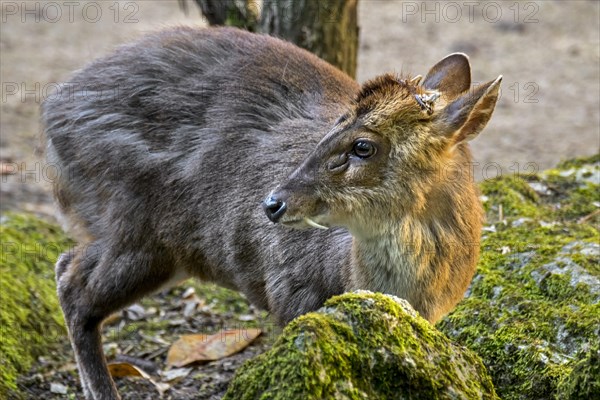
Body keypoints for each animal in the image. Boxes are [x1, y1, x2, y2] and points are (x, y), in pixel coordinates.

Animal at [43, 26, 502, 398]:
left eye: (363, 146)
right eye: (333, 123)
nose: (272, 202)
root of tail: (52, 114)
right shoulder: (289, 292)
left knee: (70, 266)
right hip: (135, 225)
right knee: (72, 281)